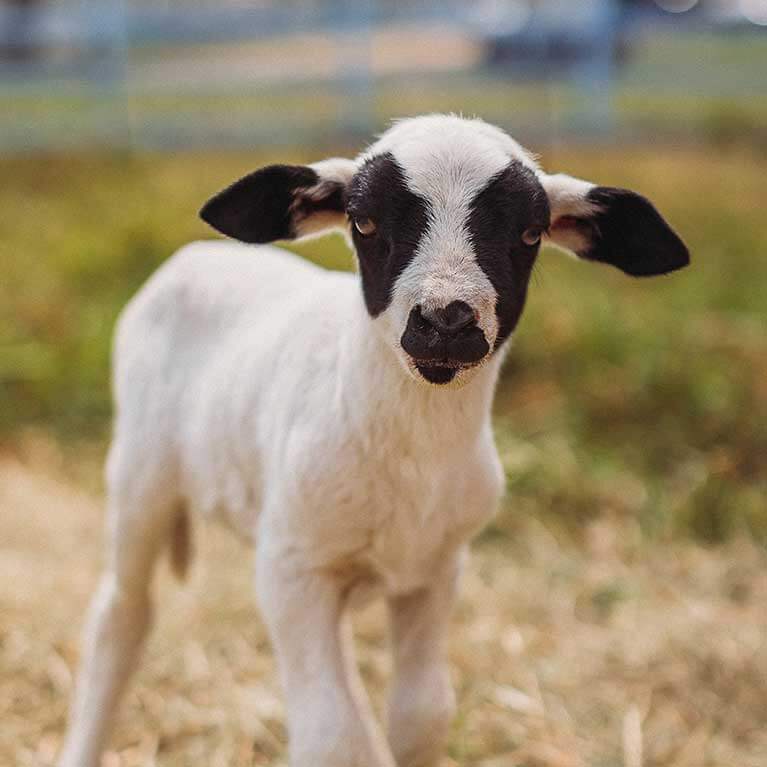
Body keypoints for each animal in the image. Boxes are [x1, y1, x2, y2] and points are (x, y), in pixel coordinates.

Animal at [57, 114, 689, 767]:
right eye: (364, 222)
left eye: (530, 232)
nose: (445, 321)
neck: (413, 453)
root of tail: (198, 254)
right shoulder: (290, 569)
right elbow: (333, 738)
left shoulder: (437, 567)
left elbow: (420, 715)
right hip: (141, 472)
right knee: (121, 615)